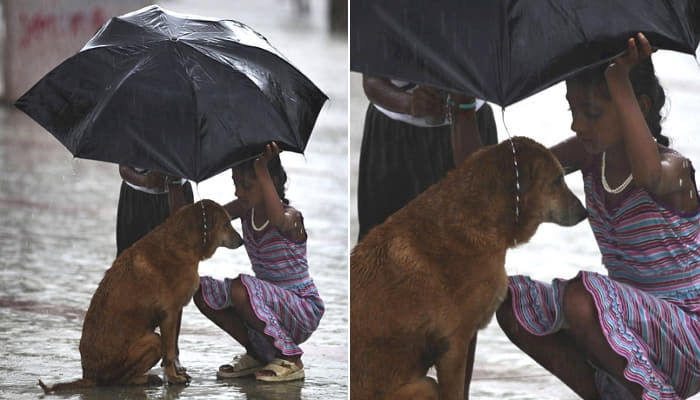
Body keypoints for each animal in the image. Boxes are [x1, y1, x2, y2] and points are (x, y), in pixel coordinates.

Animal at [41, 198, 245, 392]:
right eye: (226, 224)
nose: (242, 241)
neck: (183, 241)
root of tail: (88, 376)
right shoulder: (169, 314)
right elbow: (170, 352)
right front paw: (173, 378)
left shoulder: (173, 314)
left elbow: (172, 350)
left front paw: (176, 374)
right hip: (153, 341)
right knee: (118, 381)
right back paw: (146, 379)